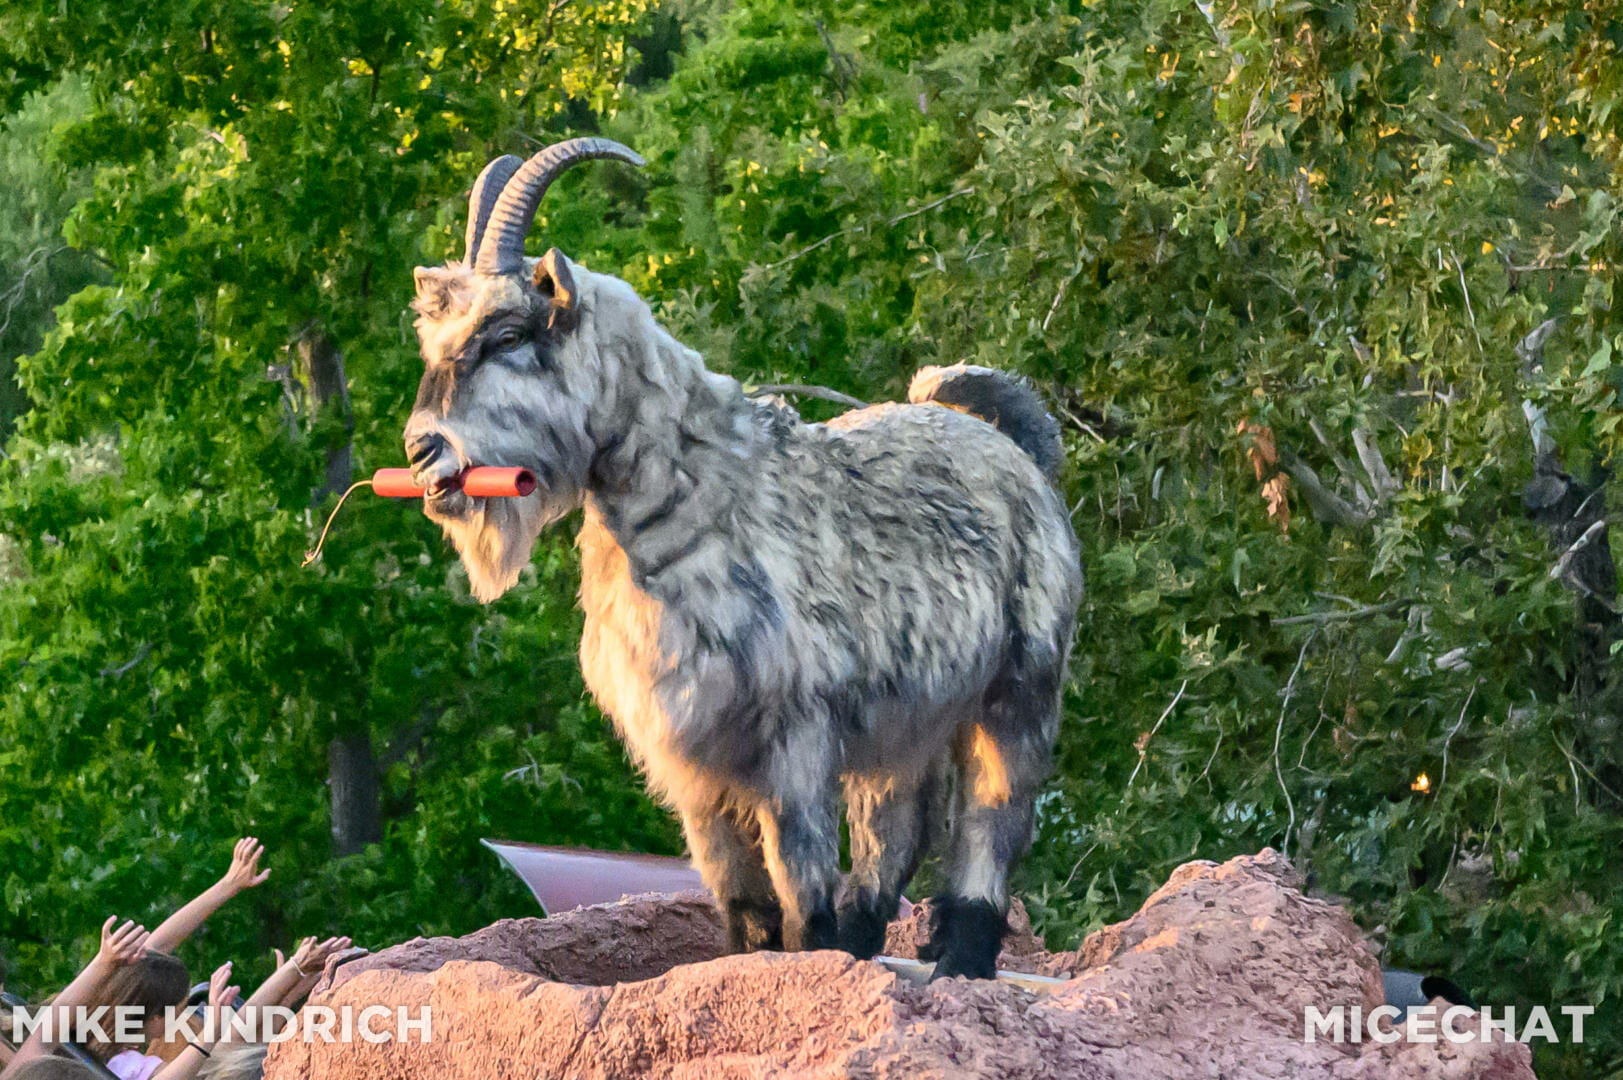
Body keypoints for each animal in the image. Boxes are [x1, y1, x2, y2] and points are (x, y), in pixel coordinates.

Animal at [405, 137, 1084, 974]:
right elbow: (738, 890)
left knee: (994, 815)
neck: (697, 503)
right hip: (904, 721)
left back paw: (960, 957)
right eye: (434, 340)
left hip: (1020, 684)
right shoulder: (690, 754)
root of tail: (1006, 440)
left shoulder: (797, 735)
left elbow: (799, 881)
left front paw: (810, 961)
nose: (423, 451)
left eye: (505, 335)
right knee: (895, 827)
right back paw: (869, 942)